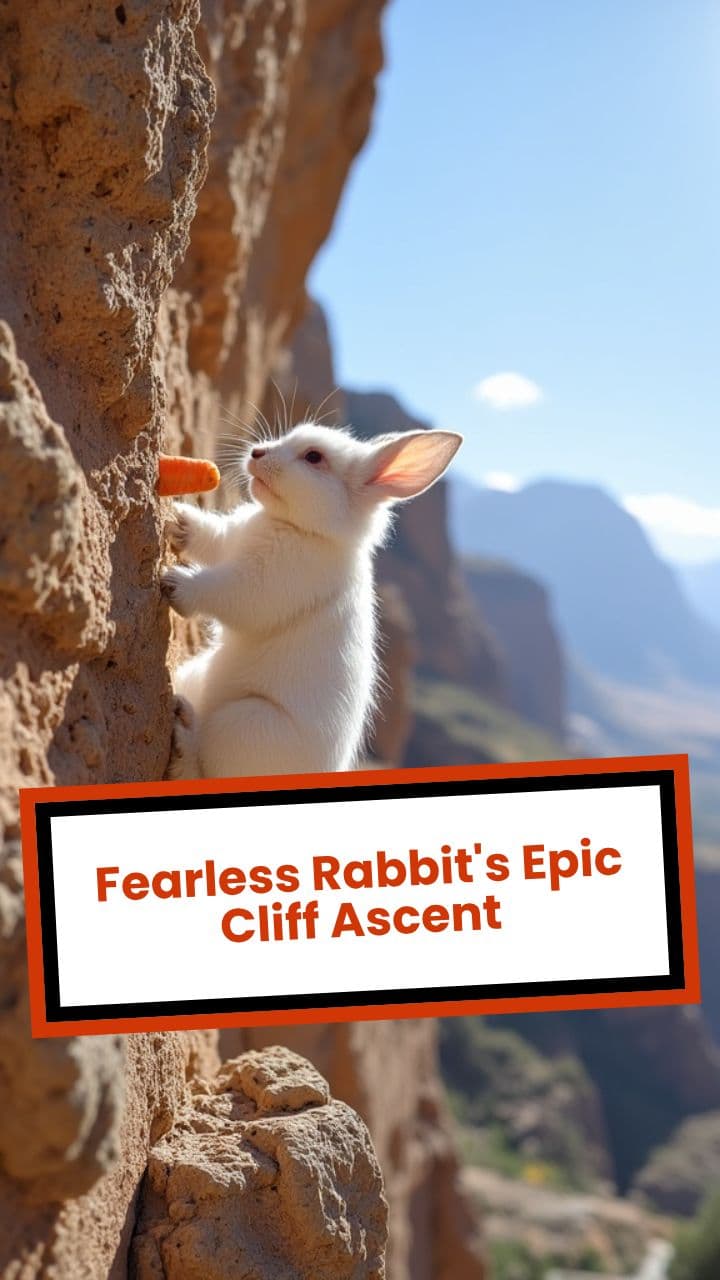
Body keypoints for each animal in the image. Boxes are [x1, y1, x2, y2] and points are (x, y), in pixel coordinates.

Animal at [160, 421, 462, 780]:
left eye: (314, 457)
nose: (257, 452)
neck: (298, 528)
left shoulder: (263, 586)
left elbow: (222, 591)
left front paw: (175, 583)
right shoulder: (232, 541)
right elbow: (211, 537)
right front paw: (180, 519)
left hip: (244, 722)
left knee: (201, 772)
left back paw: (184, 737)